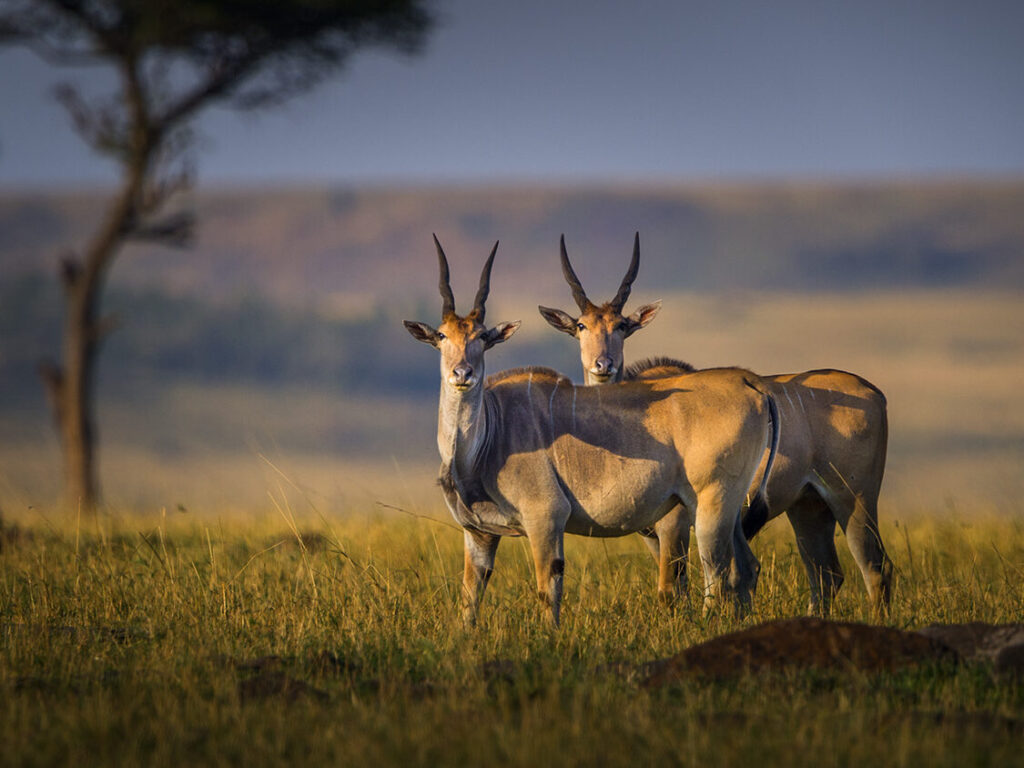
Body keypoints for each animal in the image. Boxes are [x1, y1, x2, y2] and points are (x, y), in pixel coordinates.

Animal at [403, 237, 778, 626]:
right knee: (744, 568)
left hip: (710, 506)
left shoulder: (546, 519)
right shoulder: (479, 534)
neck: (484, 440)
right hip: (728, 510)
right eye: (442, 335)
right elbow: (469, 601)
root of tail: (751, 382)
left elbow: (548, 590)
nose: (463, 373)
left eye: (482, 337)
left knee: (715, 574)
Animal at [540, 231, 892, 618]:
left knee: (875, 567)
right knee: (826, 575)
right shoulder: (653, 534)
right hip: (809, 509)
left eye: (622, 326)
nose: (603, 364)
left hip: (855, 500)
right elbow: (682, 589)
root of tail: (874, 393)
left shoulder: (674, 526)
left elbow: (670, 590)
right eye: (581, 326)